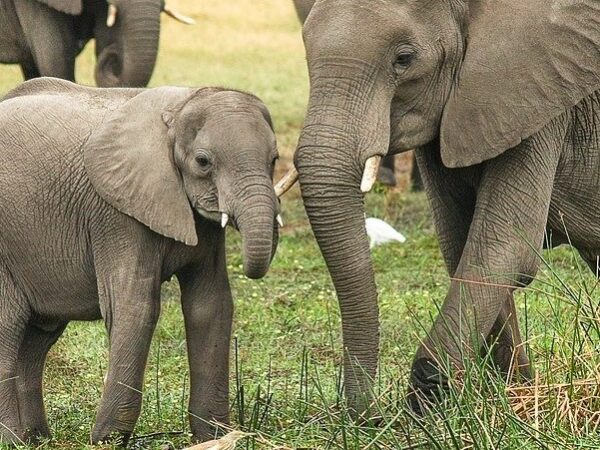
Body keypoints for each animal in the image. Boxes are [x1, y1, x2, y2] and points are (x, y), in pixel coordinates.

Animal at [0, 76, 280, 442]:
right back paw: (13, 439)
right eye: (203, 161)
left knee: (37, 339)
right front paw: (106, 440)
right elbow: (135, 306)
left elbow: (211, 304)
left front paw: (215, 437)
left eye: (274, 159)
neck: (180, 107)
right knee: (9, 328)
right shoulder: (116, 214)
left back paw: (35, 439)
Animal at [278, 0, 600, 414]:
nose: (368, 416)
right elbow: (460, 244)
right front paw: (511, 395)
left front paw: (427, 408)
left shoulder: (538, 96)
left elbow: (504, 250)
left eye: (403, 59)